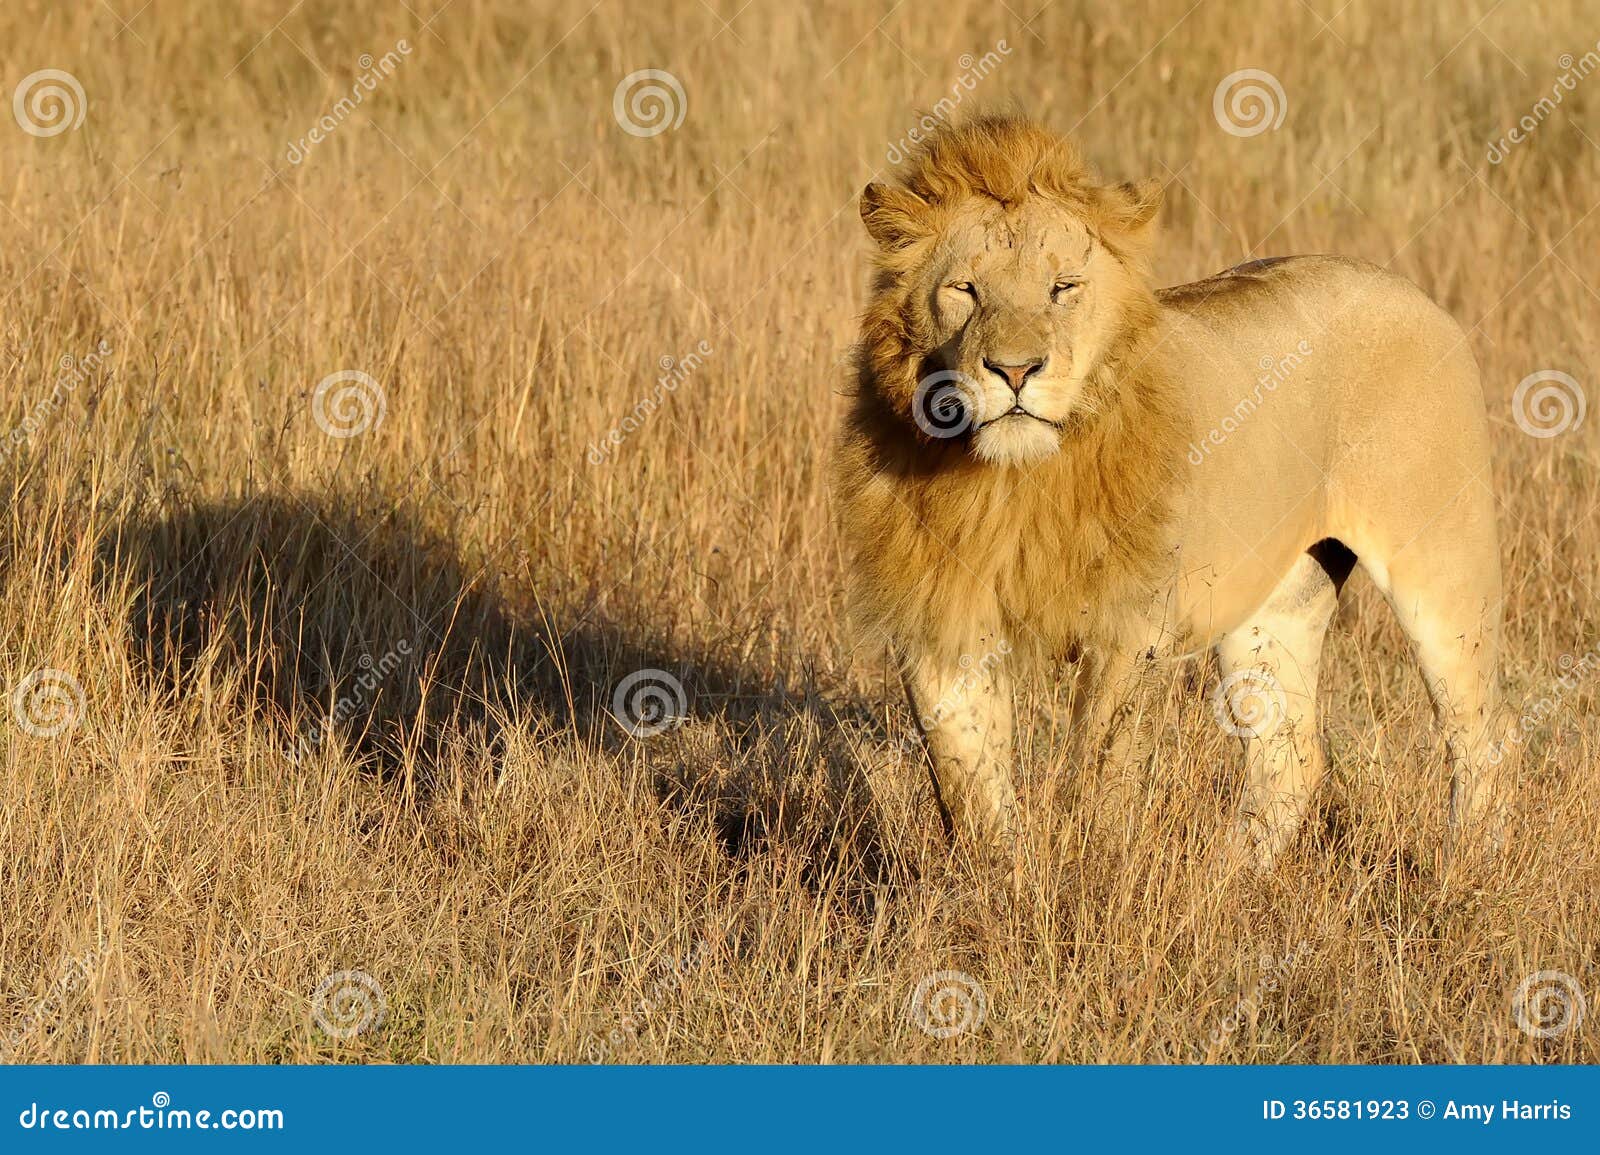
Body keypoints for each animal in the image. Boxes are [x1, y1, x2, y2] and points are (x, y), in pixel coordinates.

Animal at [844, 116, 1504, 863]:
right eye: (965, 290)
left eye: (1063, 288)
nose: (1014, 370)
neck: (1014, 484)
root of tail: (1415, 294)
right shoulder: (939, 621)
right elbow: (968, 786)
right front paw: (996, 881)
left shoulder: (1129, 629)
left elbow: (1098, 773)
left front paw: (1089, 873)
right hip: (1277, 602)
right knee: (1289, 756)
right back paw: (1237, 876)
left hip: (1442, 572)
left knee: (1480, 733)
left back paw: (1466, 867)